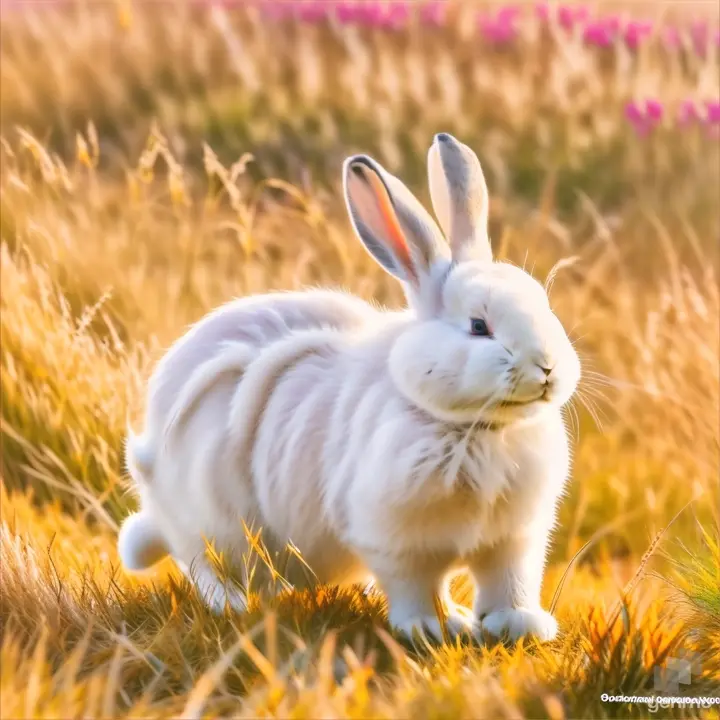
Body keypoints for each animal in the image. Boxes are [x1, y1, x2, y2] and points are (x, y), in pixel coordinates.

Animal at [116, 134, 580, 640]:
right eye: (479, 327)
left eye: (544, 305)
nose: (547, 367)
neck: (479, 428)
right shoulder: (395, 542)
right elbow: (416, 588)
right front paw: (433, 627)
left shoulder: (515, 540)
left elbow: (509, 584)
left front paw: (520, 626)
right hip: (214, 520)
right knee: (204, 566)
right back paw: (234, 606)